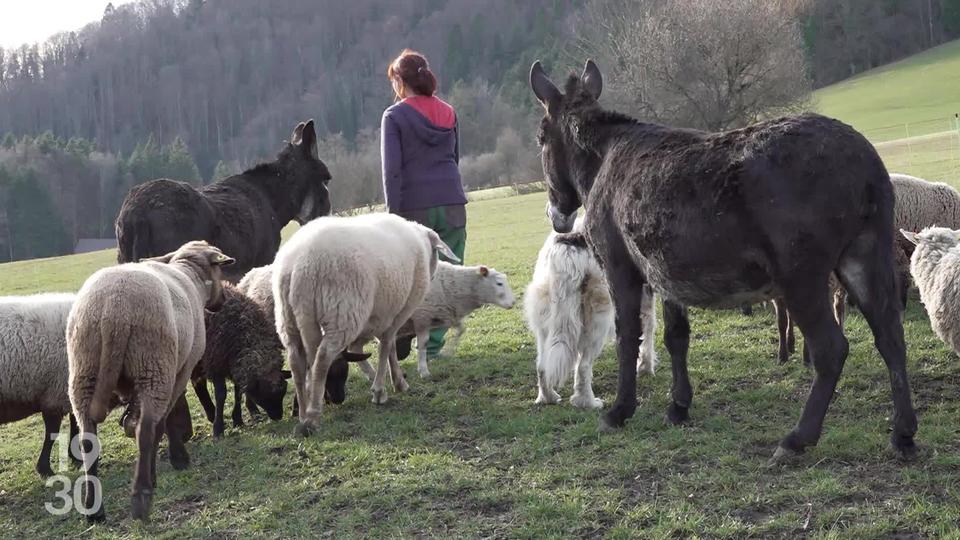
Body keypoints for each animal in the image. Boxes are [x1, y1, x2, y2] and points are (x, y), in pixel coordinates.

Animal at [68, 240, 234, 524]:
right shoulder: (180, 370)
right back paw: (141, 497)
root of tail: (114, 309)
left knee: (87, 440)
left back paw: (93, 509)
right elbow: (166, 420)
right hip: (152, 367)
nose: (222, 301)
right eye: (219, 270)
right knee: (144, 432)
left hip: (83, 372)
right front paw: (177, 459)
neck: (190, 275)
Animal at [272, 213, 460, 436]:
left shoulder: (383, 312)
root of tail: (297, 264)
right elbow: (386, 345)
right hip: (342, 311)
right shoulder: (400, 311)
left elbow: (389, 347)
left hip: (287, 319)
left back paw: (302, 413)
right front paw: (383, 390)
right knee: (322, 358)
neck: (420, 241)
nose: (433, 276)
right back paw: (312, 417)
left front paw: (394, 381)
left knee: (296, 362)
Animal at [524, 219, 660, 410]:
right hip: (599, 318)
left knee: (542, 366)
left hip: (546, 319)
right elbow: (648, 330)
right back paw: (588, 402)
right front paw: (646, 368)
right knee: (583, 366)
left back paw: (548, 397)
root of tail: (569, 246)